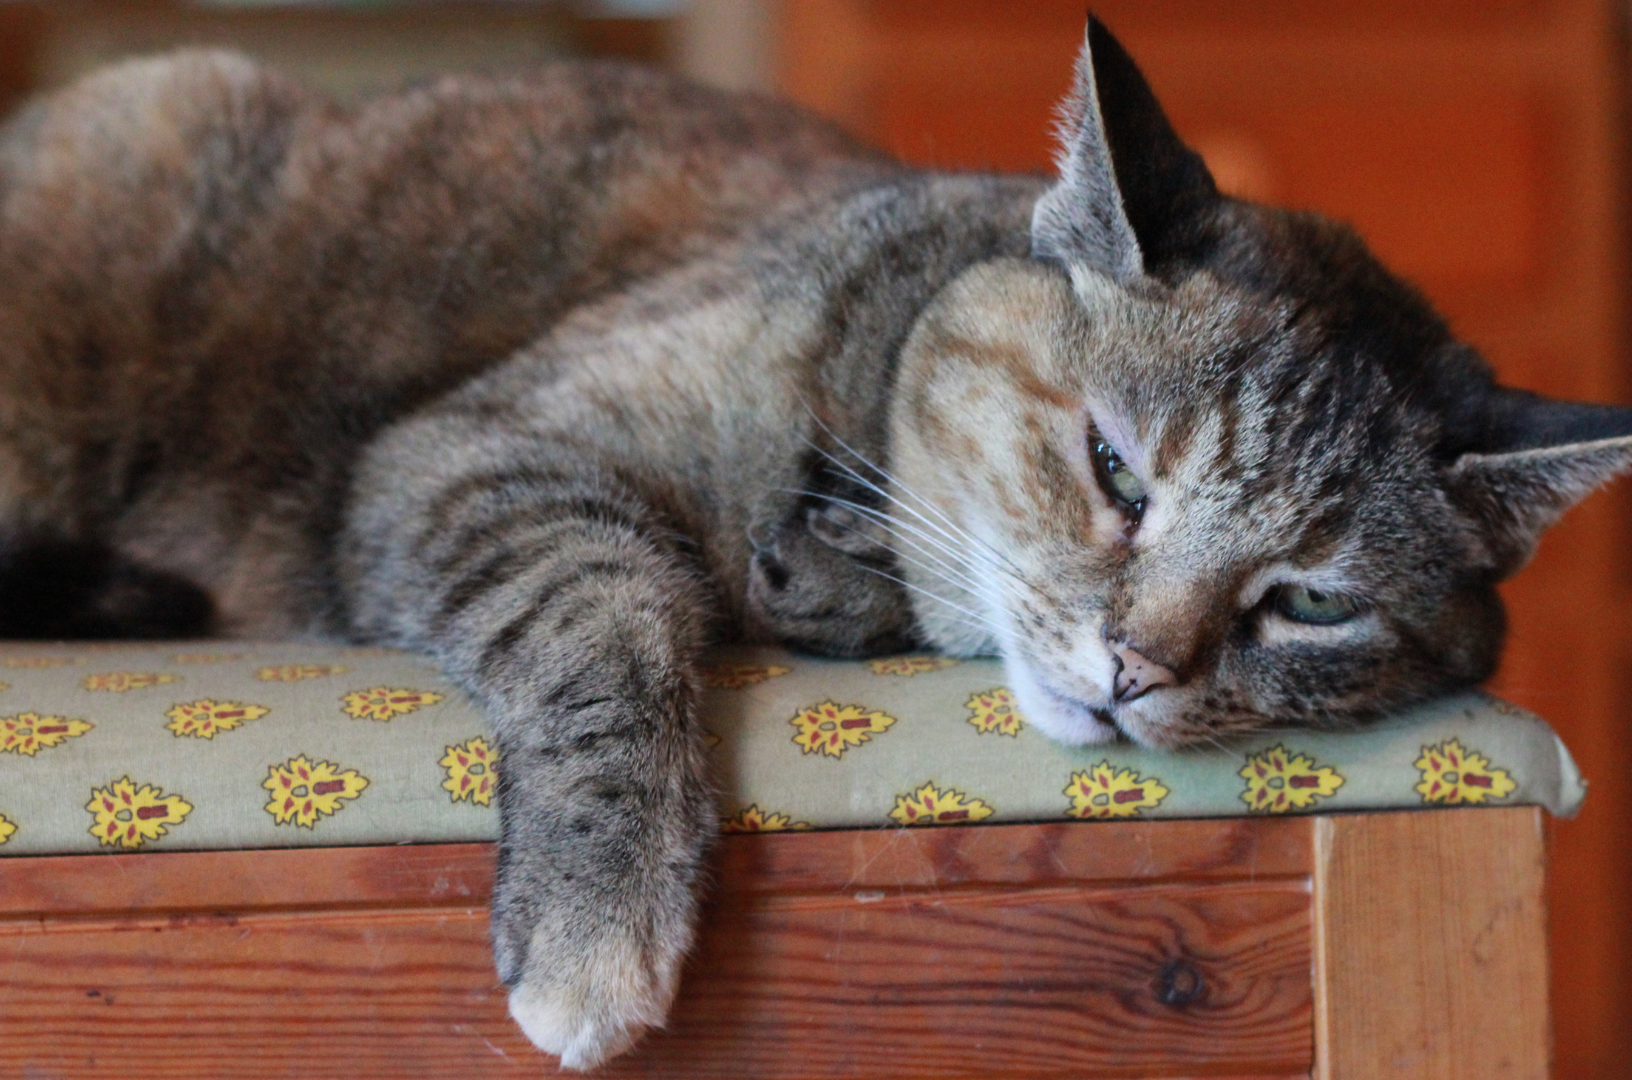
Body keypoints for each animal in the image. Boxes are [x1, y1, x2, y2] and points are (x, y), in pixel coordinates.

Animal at [3, 16, 1632, 1076]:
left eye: (1309, 602)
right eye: (1116, 471)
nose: (1134, 671)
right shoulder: (472, 455)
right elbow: (618, 608)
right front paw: (602, 919)